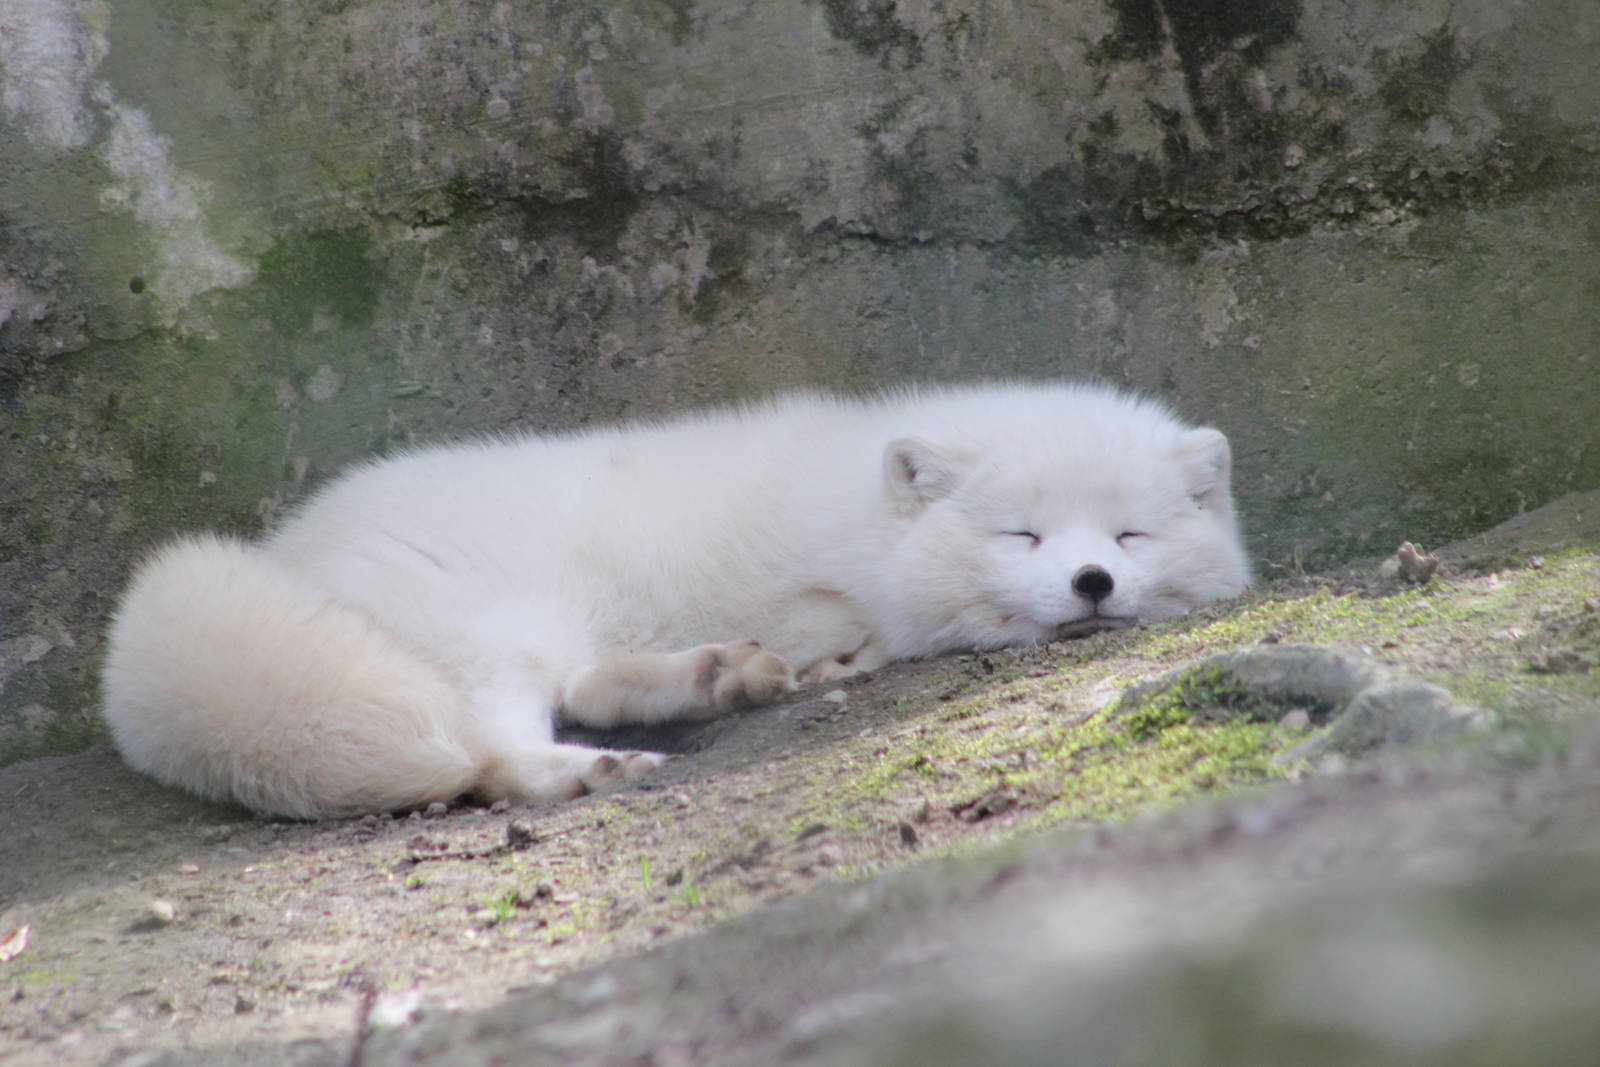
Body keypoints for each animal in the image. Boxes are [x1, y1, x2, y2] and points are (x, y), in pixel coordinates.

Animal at [102, 381, 1250, 818]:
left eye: (1129, 535)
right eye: (1025, 535)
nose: (1093, 583)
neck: (855, 518)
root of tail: (281, 556)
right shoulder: (807, 580)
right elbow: (842, 619)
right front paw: (849, 650)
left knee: (584, 687)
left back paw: (712, 676)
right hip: (494, 636)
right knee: (495, 748)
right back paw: (592, 763)